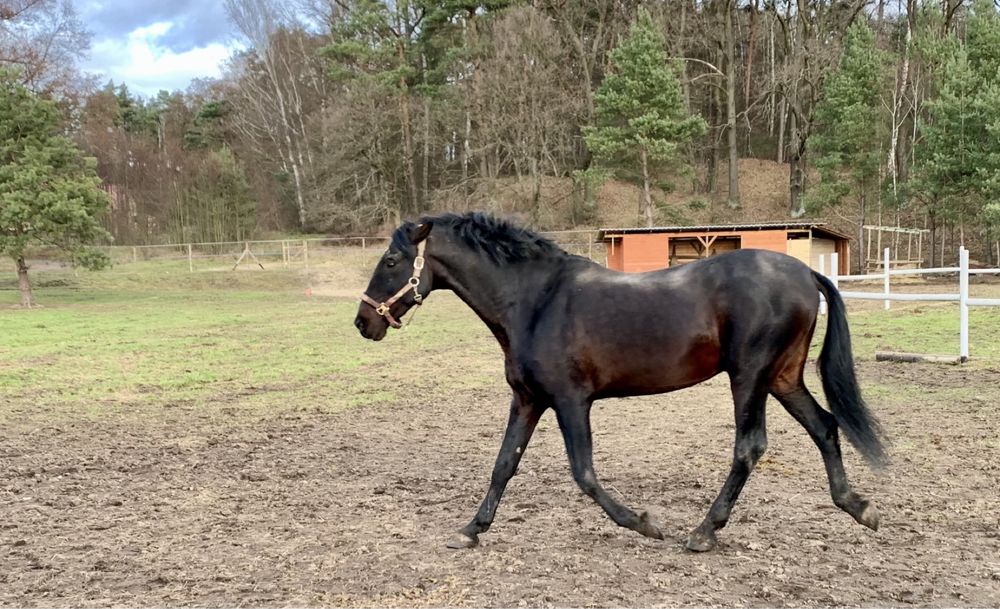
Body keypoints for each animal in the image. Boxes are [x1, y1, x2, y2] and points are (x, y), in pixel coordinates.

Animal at [356, 213, 888, 552]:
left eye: (391, 261)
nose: (364, 323)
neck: (535, 300)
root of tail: (806, 272)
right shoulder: (527, 400)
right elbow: (503, 465)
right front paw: (470, 529)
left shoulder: (571, 401)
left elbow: (584, 474)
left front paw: (645, 524)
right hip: (782, 377)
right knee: (825, 426)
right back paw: (858, 507)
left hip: (750, 377)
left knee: (750, 446)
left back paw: (703, 532)